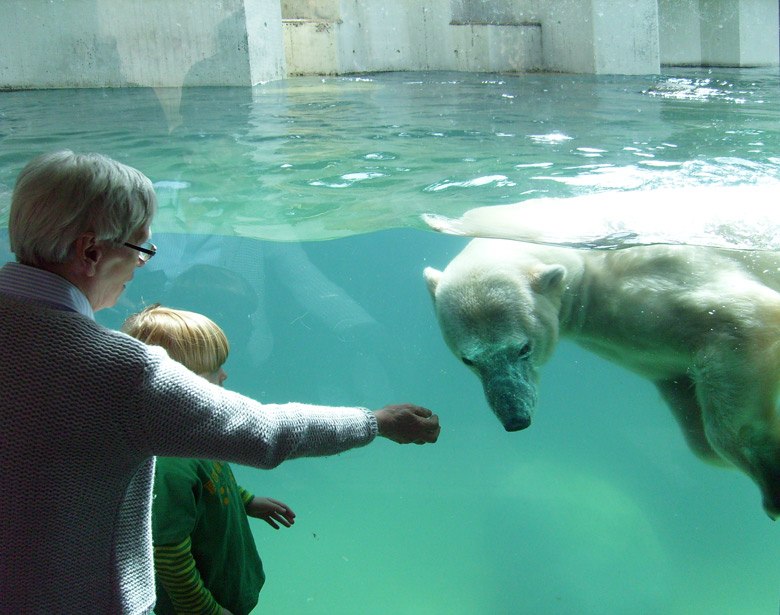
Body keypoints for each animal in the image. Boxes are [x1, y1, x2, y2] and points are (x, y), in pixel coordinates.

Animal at [426, 238, 780, 516]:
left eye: (523, 348)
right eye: (469, 359)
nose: (515, 418)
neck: (588, 265)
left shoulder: (661, 283)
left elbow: (745, 317)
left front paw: (769, 478)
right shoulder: (650, 357)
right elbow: (693, 421)